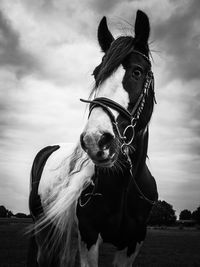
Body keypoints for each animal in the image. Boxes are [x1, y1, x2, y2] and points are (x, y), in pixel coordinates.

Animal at [27, 9, 158, 266]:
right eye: (97, 74)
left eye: (137, 71)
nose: (95, 139)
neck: (125, 186)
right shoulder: (88, 235)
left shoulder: (133, 242)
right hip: (43, 228)